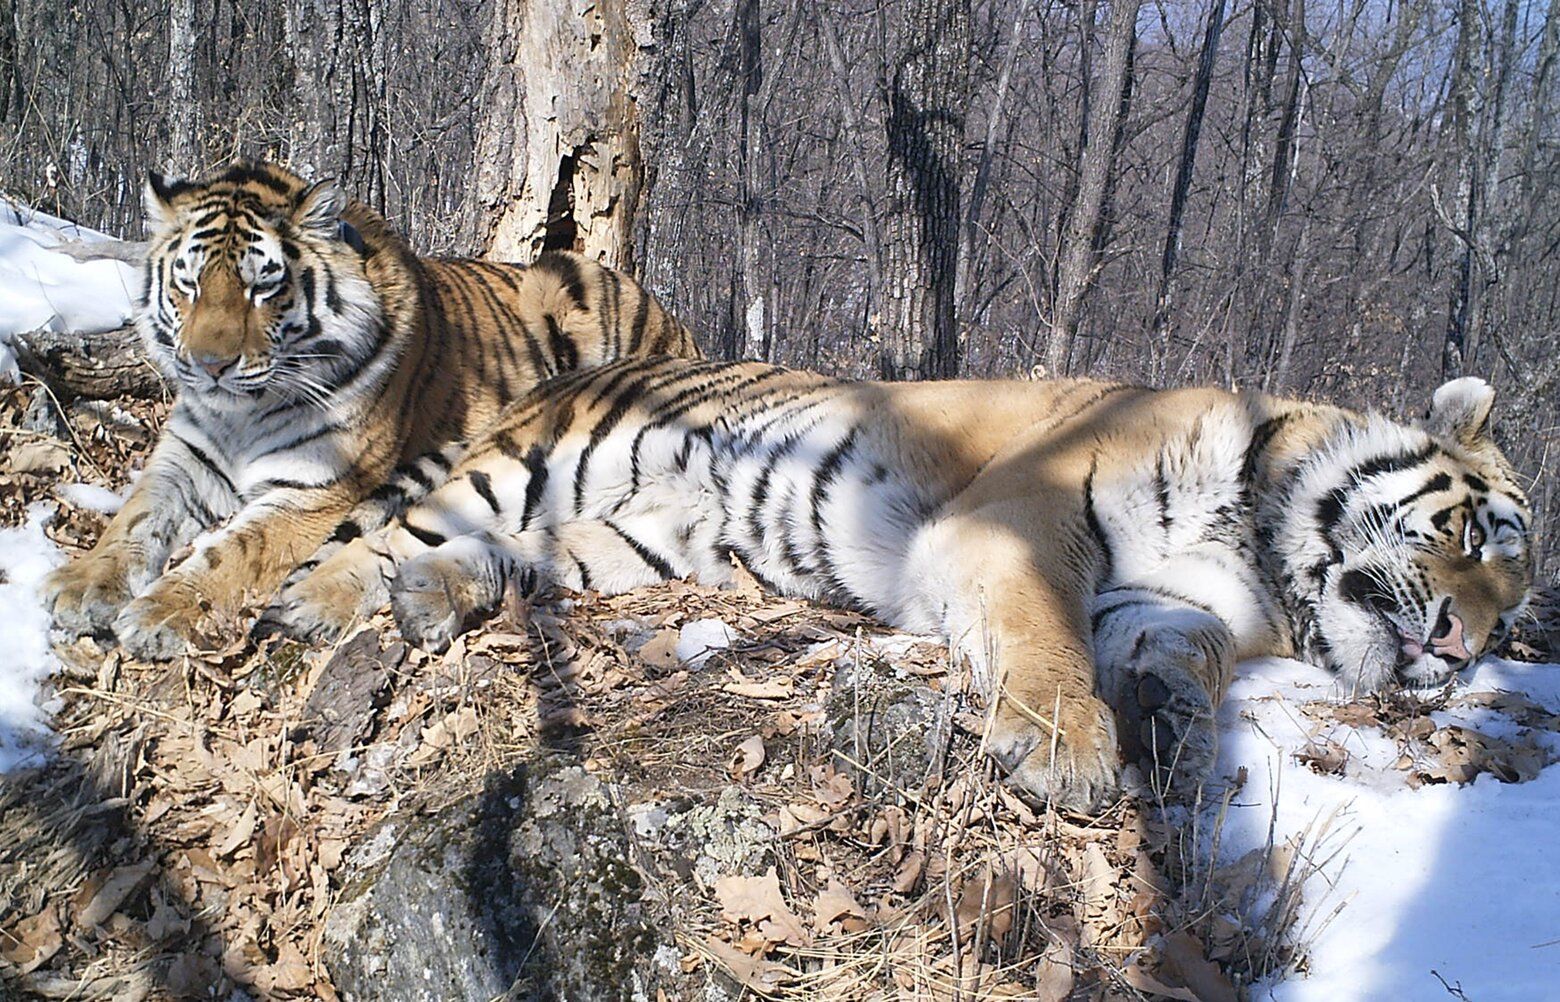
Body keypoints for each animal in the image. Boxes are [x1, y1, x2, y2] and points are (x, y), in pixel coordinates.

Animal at [43, 161, 700, 661]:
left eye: (262, 287)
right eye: (189, 284)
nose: (209, 365)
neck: (241, 413)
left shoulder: (313, 490)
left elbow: (231, 553)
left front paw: (158, 611)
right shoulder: (184, 457)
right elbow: (133, 517)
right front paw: (79, 586)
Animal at [270, 357, 1532, 810]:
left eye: (1516, 608)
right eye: (1475, 538)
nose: (1466, 647)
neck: (1261, 544)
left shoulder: (1171, 601)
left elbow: (1186, 654)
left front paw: (1173, 730)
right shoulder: (1023, 519)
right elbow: (1044, 638)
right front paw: (1068, 750)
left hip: (635, 541)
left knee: (507, 557)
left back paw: (437, 598)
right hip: (538, 463)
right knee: (374, 535)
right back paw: (312, 605)